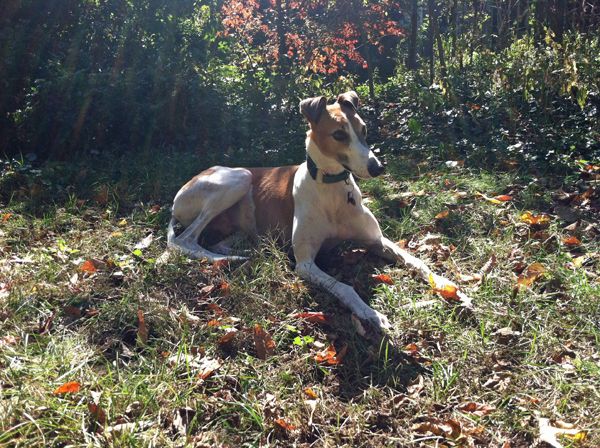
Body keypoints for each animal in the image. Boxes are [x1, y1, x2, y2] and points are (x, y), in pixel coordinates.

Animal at [166, 91, 466, 328]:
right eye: (339, 134)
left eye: (364, 129)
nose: (378, 168)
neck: (333, 189)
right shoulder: (306, 263)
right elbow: (345, 287)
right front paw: (371, 314)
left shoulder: (377, 240)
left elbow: (417, 261)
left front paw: (448, 285)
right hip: (238, 177)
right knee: (185, 241)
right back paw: (229, 259)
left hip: (240, 219)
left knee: (220, 242)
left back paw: (245, 253)